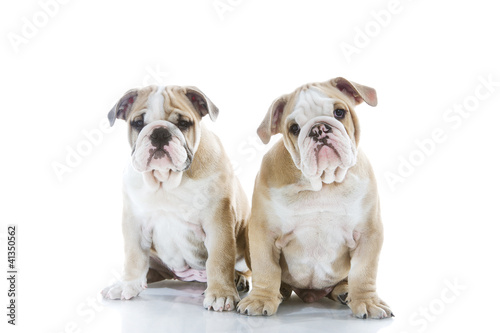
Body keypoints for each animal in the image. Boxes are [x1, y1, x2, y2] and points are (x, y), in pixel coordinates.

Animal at [101, 83, 250, 312]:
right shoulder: (134, 222)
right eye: (138, 123)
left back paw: (238, 279)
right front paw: (127, 284)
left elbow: (220, 259)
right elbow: (134, 257)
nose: (160, 133)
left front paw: (221, 294)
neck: (166, 180)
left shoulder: (219, 221)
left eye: (183, 123)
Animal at [238, 76, 394, 318]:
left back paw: (344, 291)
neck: (323, 184)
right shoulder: (264, 232)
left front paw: (367, 302)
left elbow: (364, 272)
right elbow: (266, 268)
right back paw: (281, 291)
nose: (319, 129)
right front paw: (260, 299)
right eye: (294, 128)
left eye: (339, 112)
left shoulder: (368, 233)